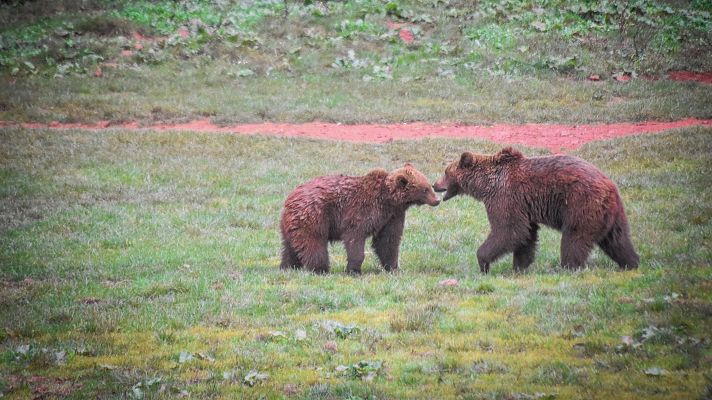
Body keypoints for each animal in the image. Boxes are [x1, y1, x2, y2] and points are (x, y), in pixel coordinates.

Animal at [280, 163, 440, 274]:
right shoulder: (361, 211)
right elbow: (355, 238)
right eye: (425, 189)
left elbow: (388, 241)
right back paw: (320, 269)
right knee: (313, 242)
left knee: (290, 246)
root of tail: (290, 198)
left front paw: (393, 267)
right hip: (314, 215)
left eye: (429, 185)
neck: (388, 200)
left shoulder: (392, 217)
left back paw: (288, 267)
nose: (437, 200)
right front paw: (354, 270)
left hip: (291, 224)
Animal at [433, 147, 639, 273]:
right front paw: (519, 266)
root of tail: (610, 186)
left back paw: (567, 267)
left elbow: (508, 230)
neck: (485, 186)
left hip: (581, 203)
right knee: (617, 240)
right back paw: (631, 262)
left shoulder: (505, 197)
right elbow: (526, 234)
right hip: (610, 214)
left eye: (446, 172)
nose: (435, 184)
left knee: (574, 238)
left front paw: (483, 262)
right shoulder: (523, 207)